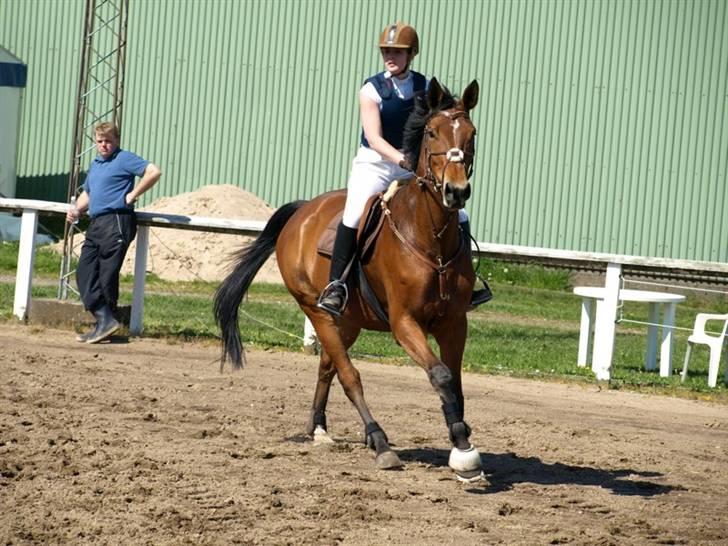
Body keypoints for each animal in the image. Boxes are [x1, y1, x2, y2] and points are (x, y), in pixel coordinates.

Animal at [216, 77, 490, 480]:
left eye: (471, 134)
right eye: (431, 132)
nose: (455, 192)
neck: (432, 238)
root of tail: (303, 211)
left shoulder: (454, 322)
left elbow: (454, 382)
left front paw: (463, 444)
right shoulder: (405, 323)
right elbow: (440, 375)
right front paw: (462, 446)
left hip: (347, 321)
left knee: (328, 366)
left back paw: (318, 428)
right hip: (317, 310)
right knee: (348, 374)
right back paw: (378, 441)